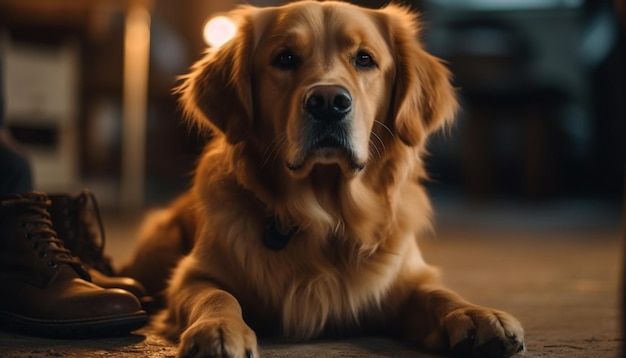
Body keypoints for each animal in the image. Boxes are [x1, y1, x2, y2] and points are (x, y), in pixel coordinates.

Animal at [119, 1, 524, 356]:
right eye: (284, 58)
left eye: (364, 59)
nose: (328, 101)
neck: (327, 217)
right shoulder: (193, 275)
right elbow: (216, 295)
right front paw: (217, 329)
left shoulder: (404, 280)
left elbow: (437, 292)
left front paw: (477, 314)